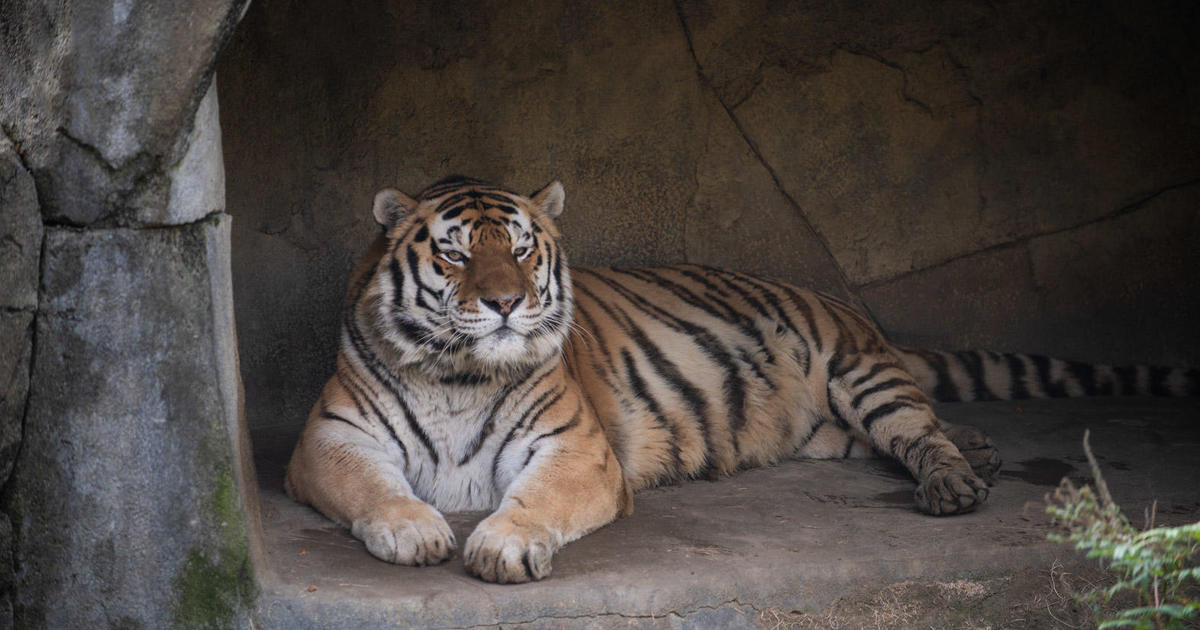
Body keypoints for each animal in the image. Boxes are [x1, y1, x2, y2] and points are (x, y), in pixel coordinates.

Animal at [283, 174, 1200, 583]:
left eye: (520, 247)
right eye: (453, 253)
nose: (506, 303)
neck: (460, 373)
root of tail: (837, 300)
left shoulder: (576, 449)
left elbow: (534, 501)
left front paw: (501, 543)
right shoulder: (330, 439)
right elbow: (374, 488)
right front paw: (415, 529)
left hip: (861, 374)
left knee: (919, 431)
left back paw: (956, 482)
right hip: (830, 430)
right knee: (916, 431)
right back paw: (981, 453)